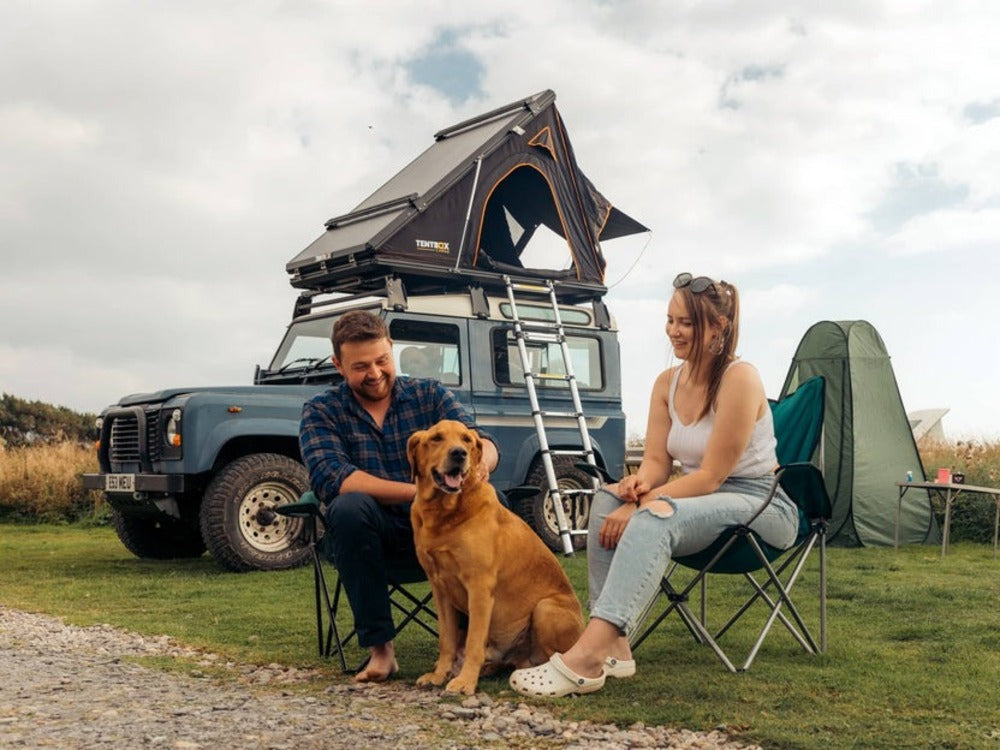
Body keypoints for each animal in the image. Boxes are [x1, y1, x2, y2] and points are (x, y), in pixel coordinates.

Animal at [408, 420, 584, 696]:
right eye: (436, 438)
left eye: (467, 439)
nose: (459, 453)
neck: (444, 513)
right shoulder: (440, 590)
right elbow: (446, 640)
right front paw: (439, 674)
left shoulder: (479, 588)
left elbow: (473, 642)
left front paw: (466, 681)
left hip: (545, 609)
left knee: (554, 658)